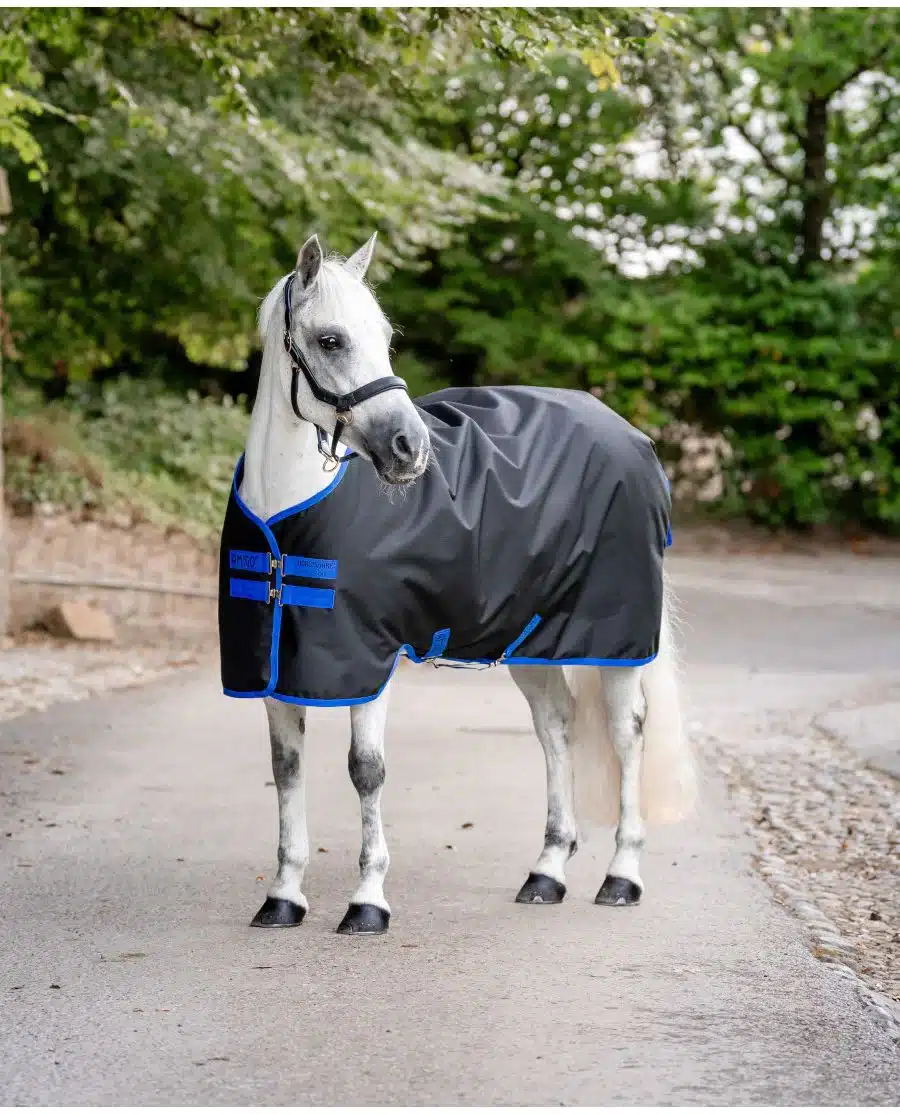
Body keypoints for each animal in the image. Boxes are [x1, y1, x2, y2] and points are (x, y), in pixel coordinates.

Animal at [220, 232, 696, 935]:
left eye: (385, 336)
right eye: (331, 339)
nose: (409, 448)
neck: (288, 518)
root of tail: (633, 438)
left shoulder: (371, 659)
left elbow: (367, 771)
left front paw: (368, 901)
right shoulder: (279, 666)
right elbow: (287, 771)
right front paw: (283, 896)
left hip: (616, 638)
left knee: (626, 732)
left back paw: (622, 876)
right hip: (531, 640)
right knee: (556, 728)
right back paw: (546, 873)